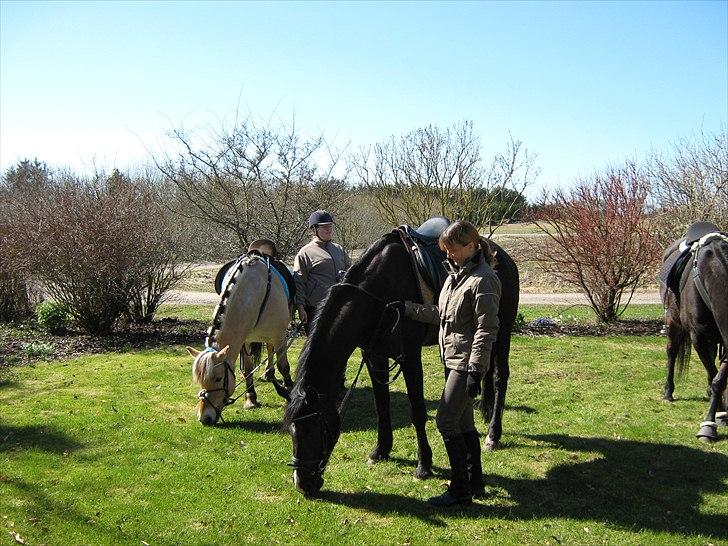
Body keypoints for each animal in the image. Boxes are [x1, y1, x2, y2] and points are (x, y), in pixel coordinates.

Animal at [186, 252, 294, 424]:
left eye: (218, 379)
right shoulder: (245, 340)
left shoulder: (279, 336)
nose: (204, 418)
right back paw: (268, 372)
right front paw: (251, 399)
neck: (253, 292)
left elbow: (284, 366)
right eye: (199, 380)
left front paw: (289, 393)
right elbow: (247, 369)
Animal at [282, 227, 516, 496]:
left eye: (314, 429)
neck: (377, 298)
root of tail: (501, 256)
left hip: (502, 331)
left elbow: (417, 410)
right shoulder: (375, 356)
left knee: (499, 377)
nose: (302, 484)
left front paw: (424, 465)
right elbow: (382, 405)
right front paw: (380, 451)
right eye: (291, 430)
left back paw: (493, 435)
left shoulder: (410, 356)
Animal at [660, 219, 728, 440]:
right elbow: (714, 377)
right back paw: (668, 392)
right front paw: (711, 423)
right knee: (672, 353)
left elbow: (719, 377)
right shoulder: (698, 337)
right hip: (674, 322)